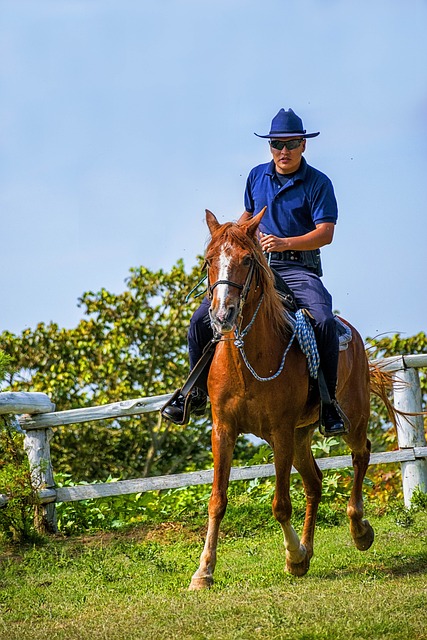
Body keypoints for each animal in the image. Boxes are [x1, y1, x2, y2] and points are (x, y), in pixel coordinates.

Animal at [189, 209, 386, 592]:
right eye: (208, 260)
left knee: (362, 454)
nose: (222, 316)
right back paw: (309, 548)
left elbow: (280, 504)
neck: (248, 360)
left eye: (247, 260)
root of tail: (353, 335)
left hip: (350, 421)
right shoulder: (224, 430)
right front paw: (204, 571)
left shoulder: (279, 433)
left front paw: (292, 556)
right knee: (315, 483)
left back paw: (359, 530)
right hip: (300, 437)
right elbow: (217, 501)